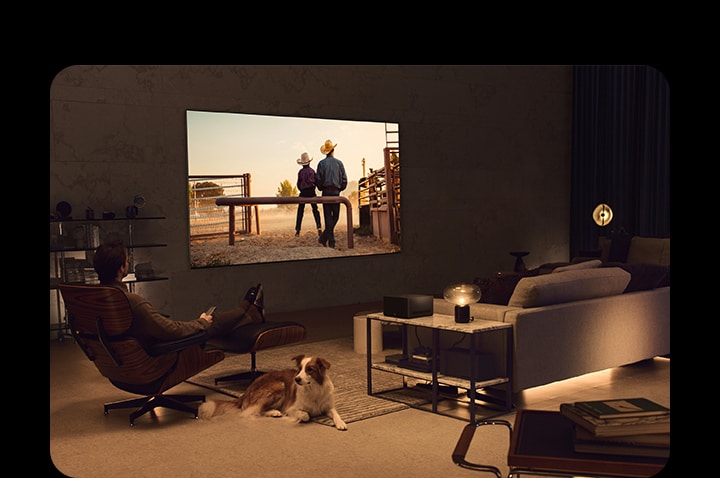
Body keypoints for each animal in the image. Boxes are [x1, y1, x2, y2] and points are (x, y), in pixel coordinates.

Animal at [194, 354, 346, 430]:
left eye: (310, 369)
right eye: (299, 369)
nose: (296, 379)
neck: (313, 389)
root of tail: (246, 392)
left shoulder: (328, 406)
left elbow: (336, 414)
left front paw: (341, 423)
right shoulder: (290, 408)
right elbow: (305, 415)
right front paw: (302, 416)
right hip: (279, 386)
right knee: (253, 411)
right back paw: (274, 412)